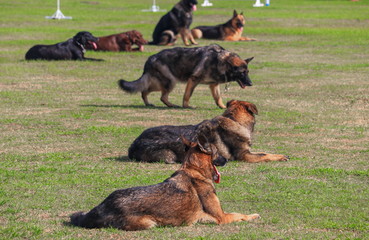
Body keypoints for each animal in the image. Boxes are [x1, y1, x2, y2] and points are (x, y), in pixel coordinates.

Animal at [69, 131, 258, 231]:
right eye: (218, 152)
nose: (227, 160)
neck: (193, 169)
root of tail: (102, 207)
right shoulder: (221, 217)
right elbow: (239, 214)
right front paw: (253, 215)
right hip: (149, 223)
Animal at [118, 44, 253, 109]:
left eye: (247, 72)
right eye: (242, 73)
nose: (251, 84)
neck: (221, 61)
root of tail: (151, 58)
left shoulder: (213, 85)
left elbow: (217, 98)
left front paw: (223, 107)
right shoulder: (193, 80)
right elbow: (187, 95)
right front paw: (186, 106)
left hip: (163, 83)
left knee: (145, 91)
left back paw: (149, 103)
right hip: (170, 82)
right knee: (161, 96)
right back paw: (172, 105)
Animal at [128, 99, 288, 163]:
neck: (233, 120)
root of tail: (133, 145)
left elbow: (264, 152)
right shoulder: (244, 156)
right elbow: (264, 155)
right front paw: (279, 157)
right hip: (169, 155)